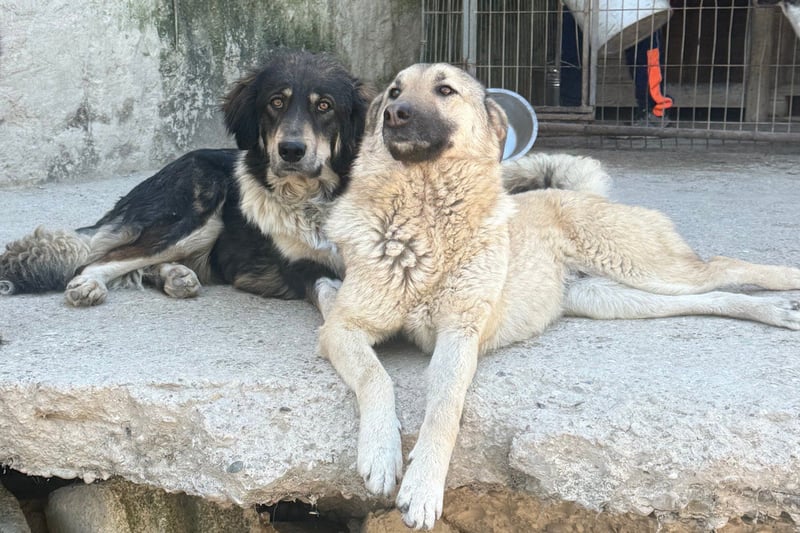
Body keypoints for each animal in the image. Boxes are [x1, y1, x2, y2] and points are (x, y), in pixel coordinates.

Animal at [0, 50, 369, 306]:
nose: (291, 150)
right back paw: (90, 284)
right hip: (200, 210)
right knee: (101, 259)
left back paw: (175, 276)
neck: (313, 198)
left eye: (325, 106)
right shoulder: (305, 268)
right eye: (276, 102)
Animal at [314, 63, 800, 530]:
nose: (395, 114)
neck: (423, 210)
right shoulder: (343, 328)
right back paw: (774, 310)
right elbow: (375, 376)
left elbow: (444, 409)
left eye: (444, 90)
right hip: (617, 298)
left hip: (646, 268)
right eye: (394, 92)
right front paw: (381, 451)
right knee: (708, 297)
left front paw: (424, 485)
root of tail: (578, 193)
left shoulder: (459, 335)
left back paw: (786, 283)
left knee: (722, 266)